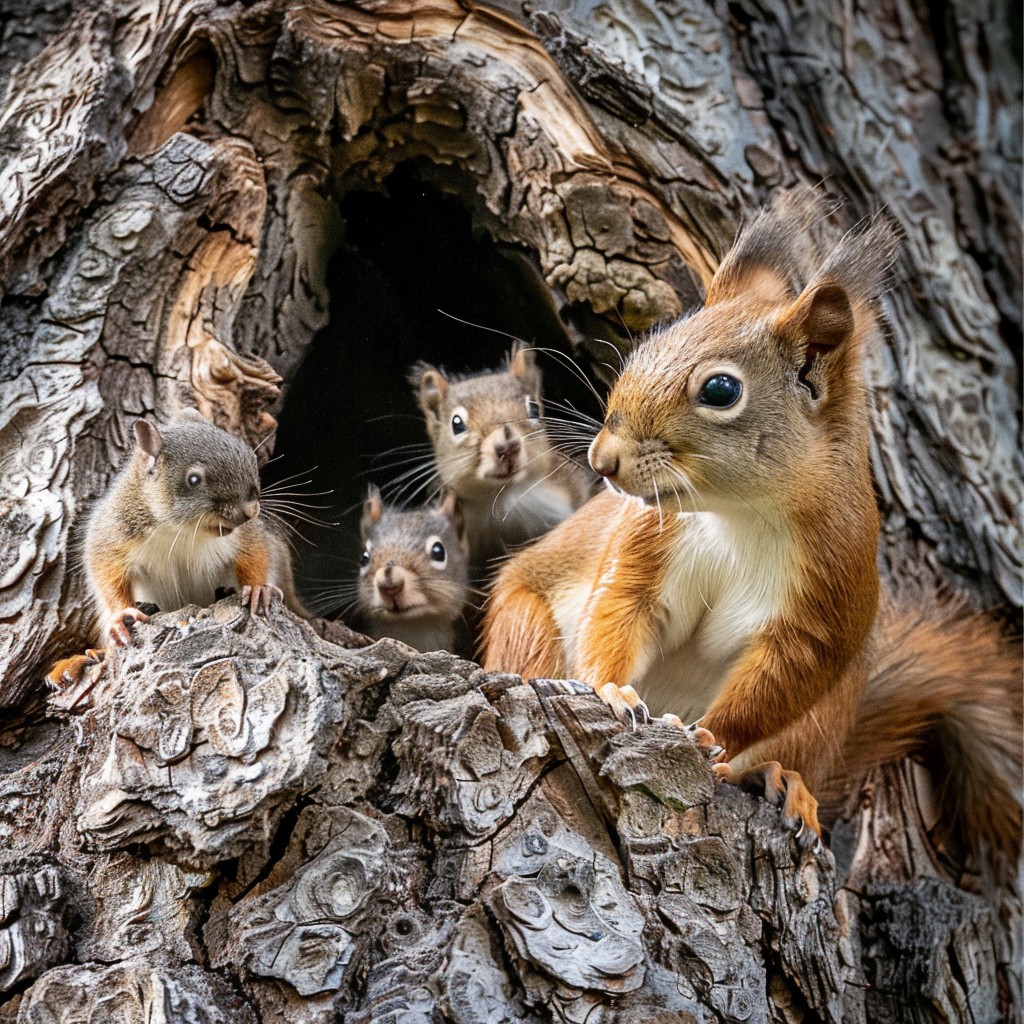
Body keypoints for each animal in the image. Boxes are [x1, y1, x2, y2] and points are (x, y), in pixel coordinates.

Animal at [83, 410, 305, 647]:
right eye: (194, 479)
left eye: (252, 459)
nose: (252, 510)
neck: (181, 531)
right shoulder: (113, 533)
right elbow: (107, 573)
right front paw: (121, 616)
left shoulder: (246, 534)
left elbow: (255, 554)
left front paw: (257, 590)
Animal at [482, 189, 1022, 875]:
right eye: (647, 346)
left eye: (720, 389)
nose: (603, 461)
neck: (740, 512)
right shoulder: (647, 540)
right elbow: (621, 608)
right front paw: (612, 691)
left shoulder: (827, 596)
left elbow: (779, 681)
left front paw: (712, 734)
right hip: (526, 623)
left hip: (829, 713)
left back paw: (781, 780)